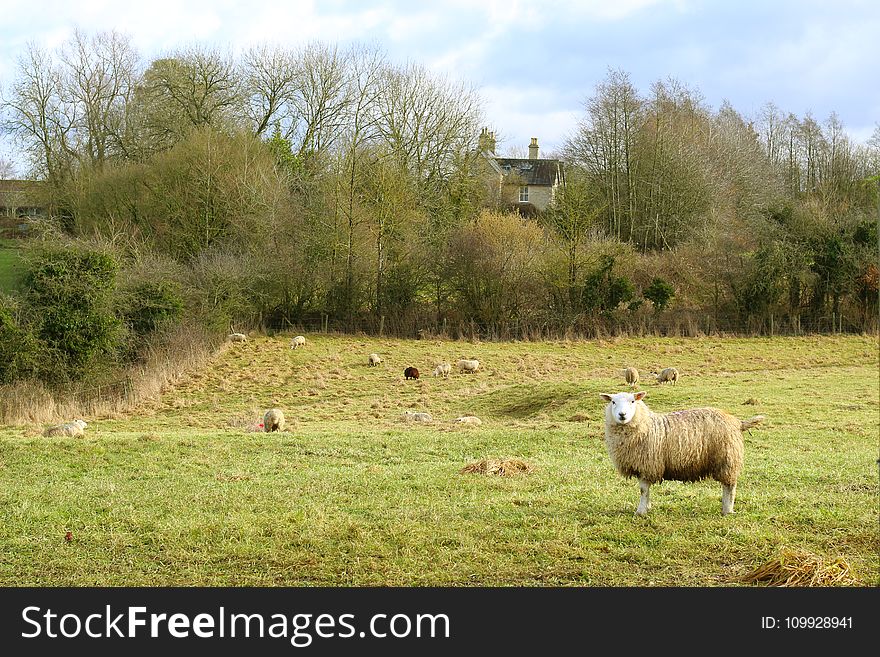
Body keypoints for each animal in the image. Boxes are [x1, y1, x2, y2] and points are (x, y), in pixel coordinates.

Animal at [600, 390, 764, 516]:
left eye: (633, 401)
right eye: (613, 402)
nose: (622, 415)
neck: (646, 425)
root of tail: (737, 422)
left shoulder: (648, 465)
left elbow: (643, 490)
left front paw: (640, 511)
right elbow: (646, 492)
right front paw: (647, 507)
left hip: (727, 459)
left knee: (730, 486)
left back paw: (728, 510)